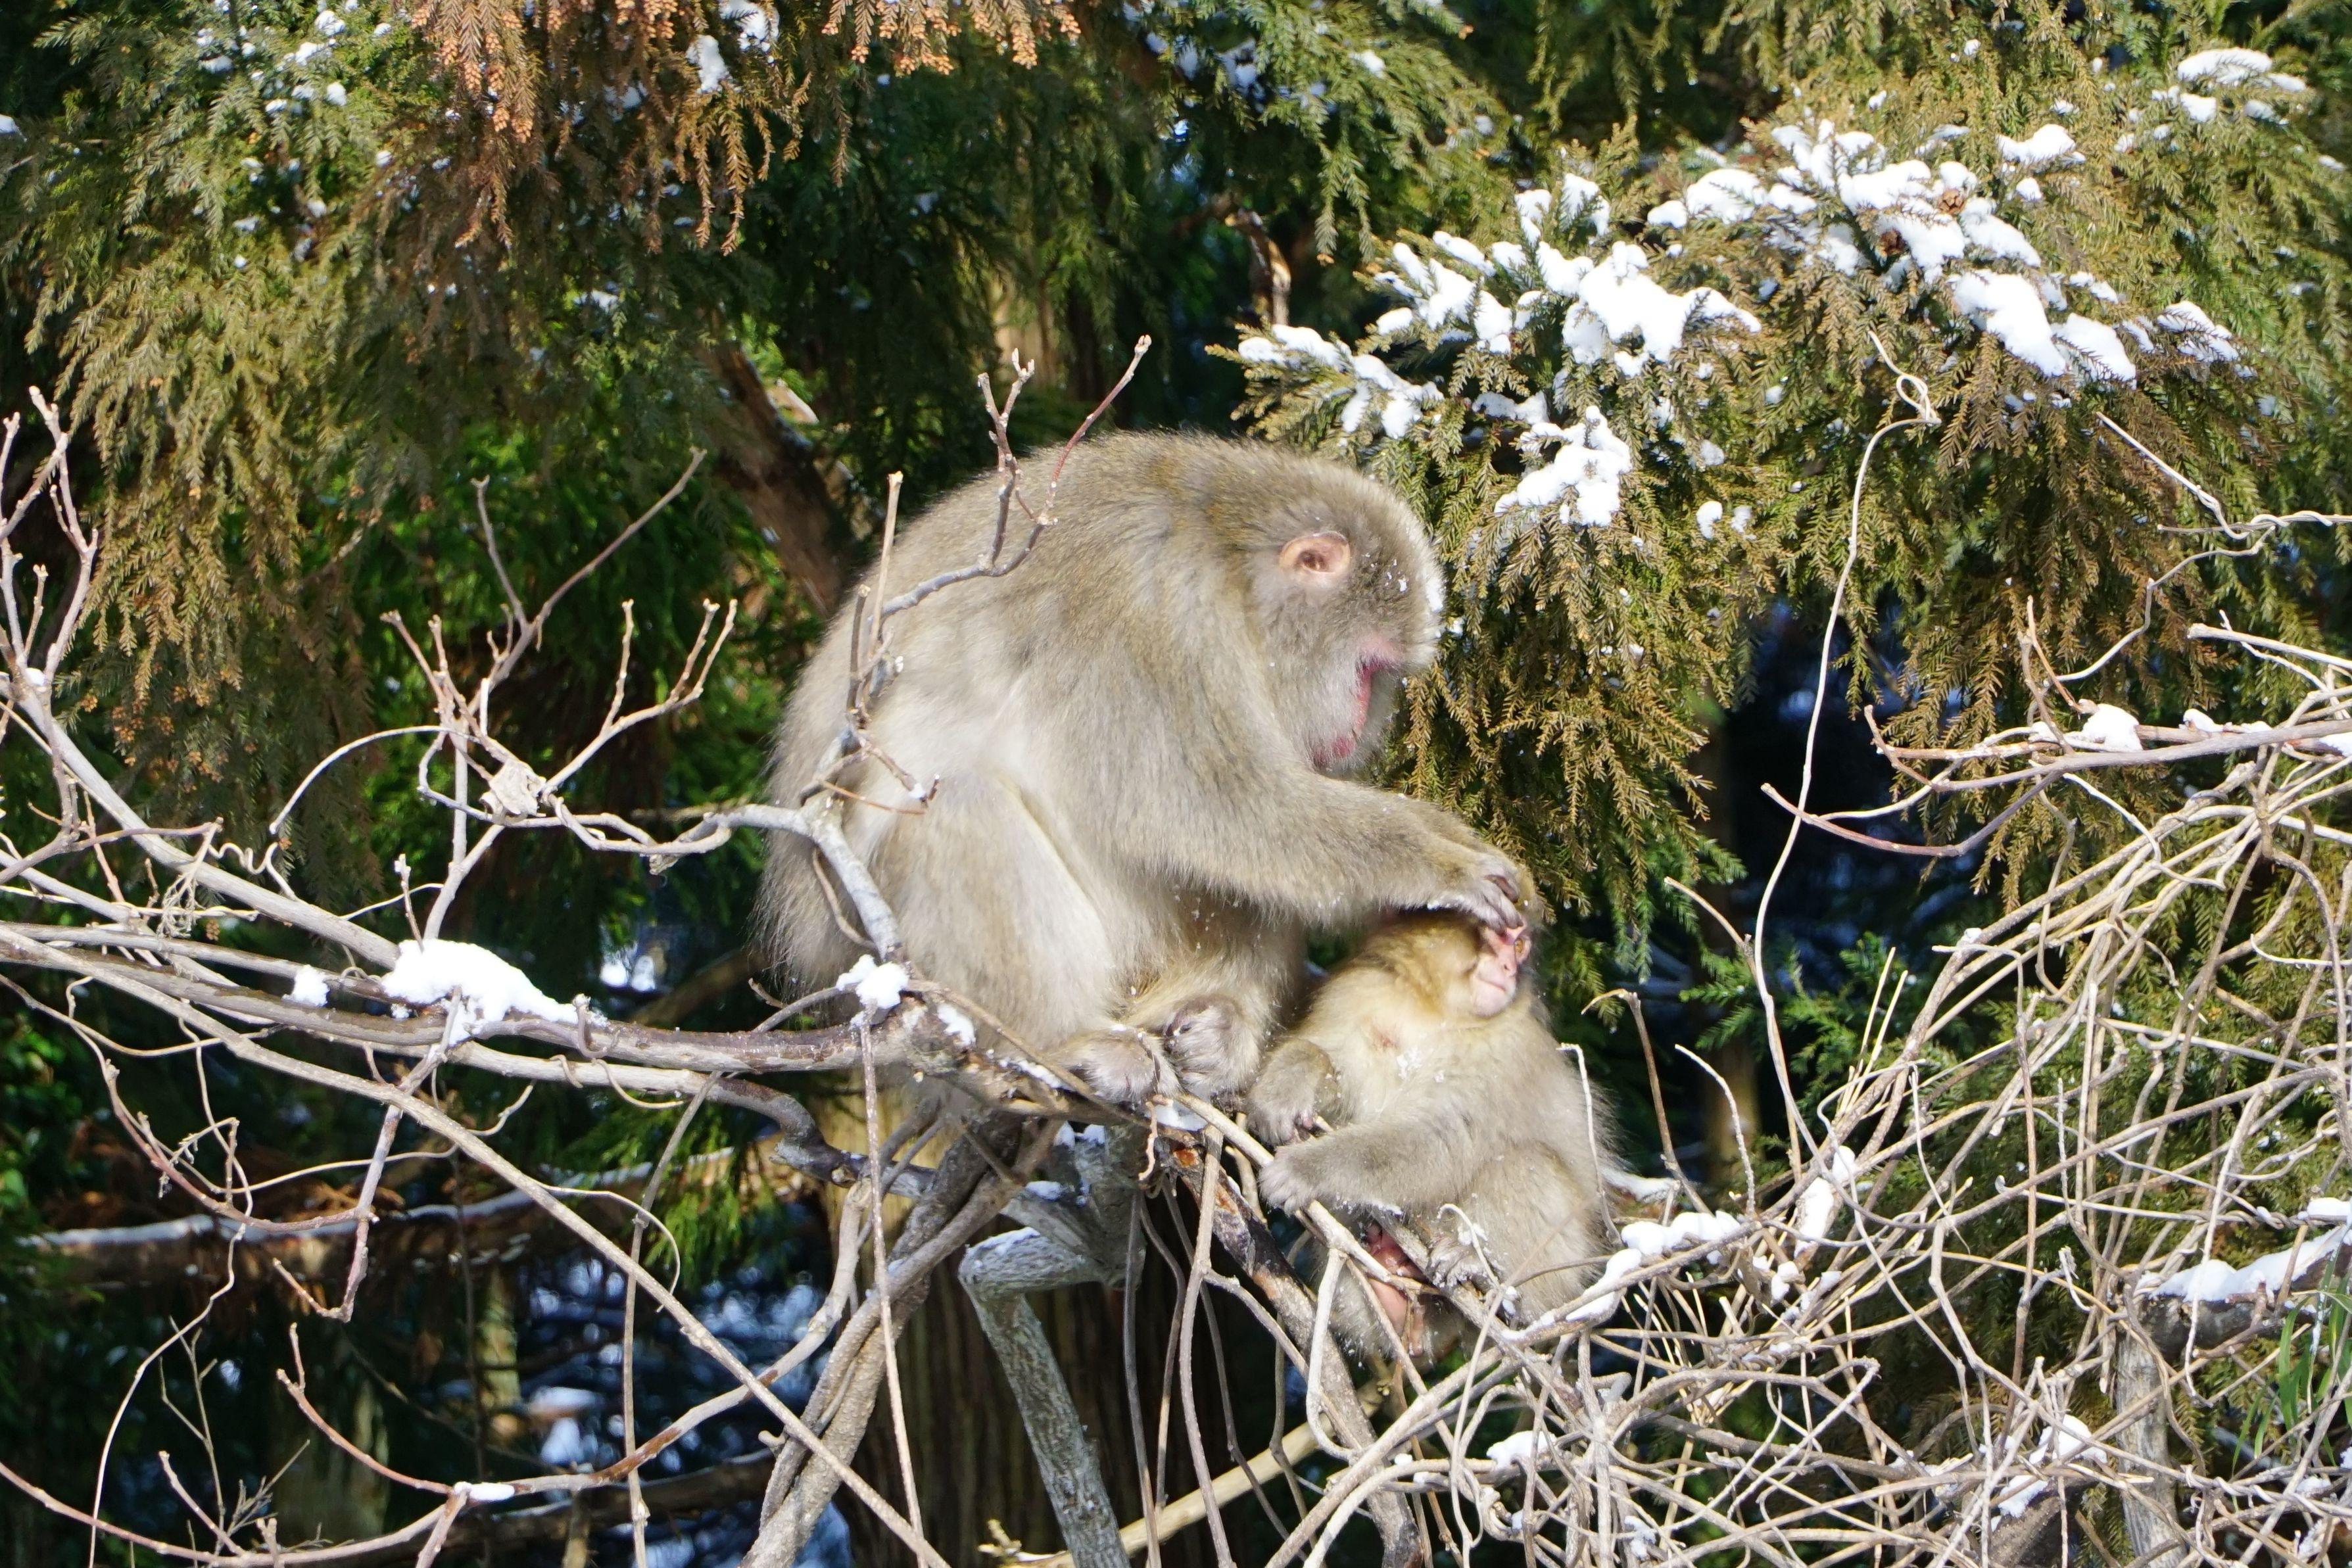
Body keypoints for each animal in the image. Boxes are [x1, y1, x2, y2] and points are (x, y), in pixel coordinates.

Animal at [758, 433, 1525, 1108]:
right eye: (1370, 668)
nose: (1358, 726)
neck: (1225, 560)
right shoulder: (1152, 610)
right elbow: (1206, 806)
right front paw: (1438, 861)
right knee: (963, 809)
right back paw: (1054, 1042)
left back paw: (1219, 1024)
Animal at [1246, 912, 1617, 1357]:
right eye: (1501, 936)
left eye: (1520, 946)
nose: (1510, 968)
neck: (1432, 1010)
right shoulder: (1359, 992)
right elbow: (1331, 1065)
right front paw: (1286, 1085)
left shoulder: (1505, 1050)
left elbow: (1439, 1141)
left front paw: (1307, 1170)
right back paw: (1392, 1282)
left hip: (1563, 1268)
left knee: (1526, 1165)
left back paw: (1482, 1267)